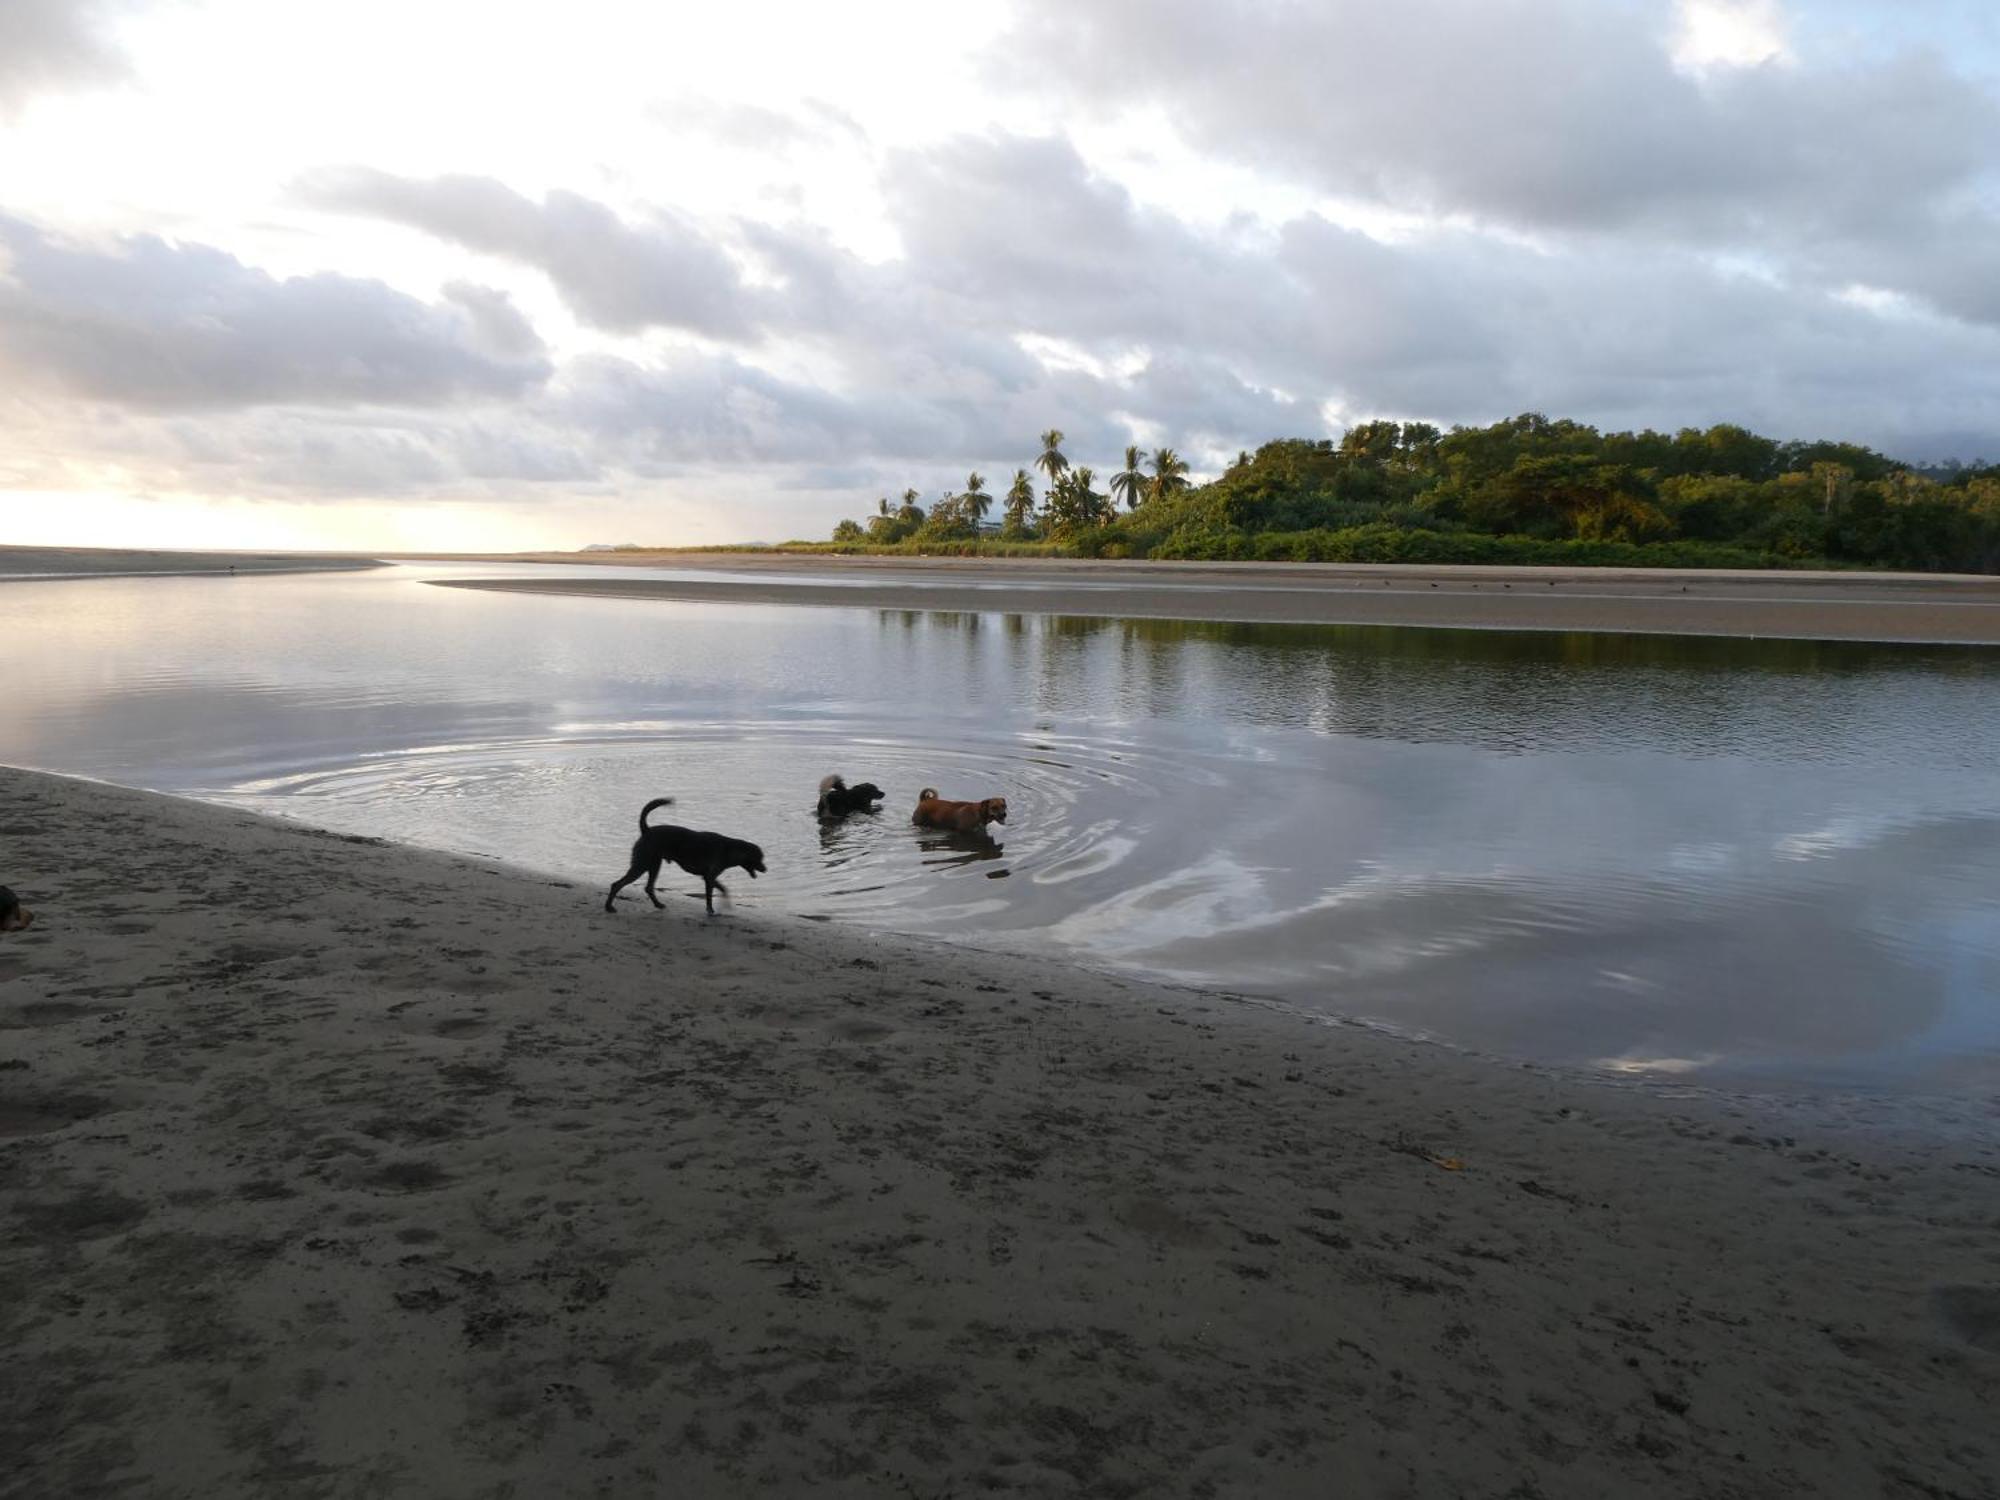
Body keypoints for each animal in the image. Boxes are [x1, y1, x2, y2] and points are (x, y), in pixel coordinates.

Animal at [600, 800, 764, 916]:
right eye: (759, 858)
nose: (765, 869)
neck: (729, 849)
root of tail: (646, 830)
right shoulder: (709, 878)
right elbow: (709, 896)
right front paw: (710, 911)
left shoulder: (708, 876)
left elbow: (723, 889)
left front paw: (725, 904)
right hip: (641, 864)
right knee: (617, 884)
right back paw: (609, 907)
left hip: (654, 864)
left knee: (648, 887)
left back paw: (658, 904)